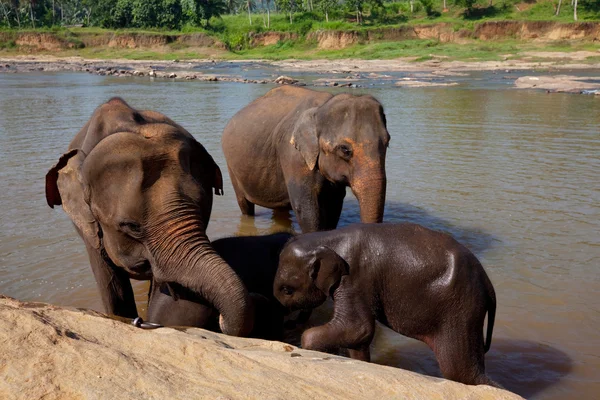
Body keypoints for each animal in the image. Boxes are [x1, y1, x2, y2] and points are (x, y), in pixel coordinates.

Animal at [220, 86, 390, 233]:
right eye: (345, 150)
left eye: (387, 143)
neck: (322, 108)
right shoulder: (293, 155)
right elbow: (305, 207)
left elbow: (334, 204)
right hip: (231, 167)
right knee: (244, 204)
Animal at [272, 223, 496, 386]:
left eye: (287, 290)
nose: (288, 325)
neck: (326, 238)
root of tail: (488, 283)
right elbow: (358, 338)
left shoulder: (354, 279)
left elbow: (357, 327)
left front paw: (308, 345)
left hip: (460, 309)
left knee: (460, 371)